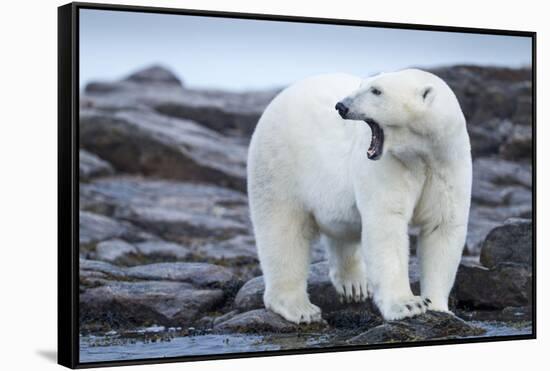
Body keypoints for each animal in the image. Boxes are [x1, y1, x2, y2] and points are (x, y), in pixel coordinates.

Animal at [249, 68, 474, 324]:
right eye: (363, 85)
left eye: (376, 90)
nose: (341, 106)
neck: (421, 153)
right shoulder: (390, 165)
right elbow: (387, 224)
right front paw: (408, 304)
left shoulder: (447, 164)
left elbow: (442, 226)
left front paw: (438, 307)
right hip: (279, 164)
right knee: (282, 231)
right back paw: (299, 307)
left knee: (341, 230)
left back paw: (354, 284)